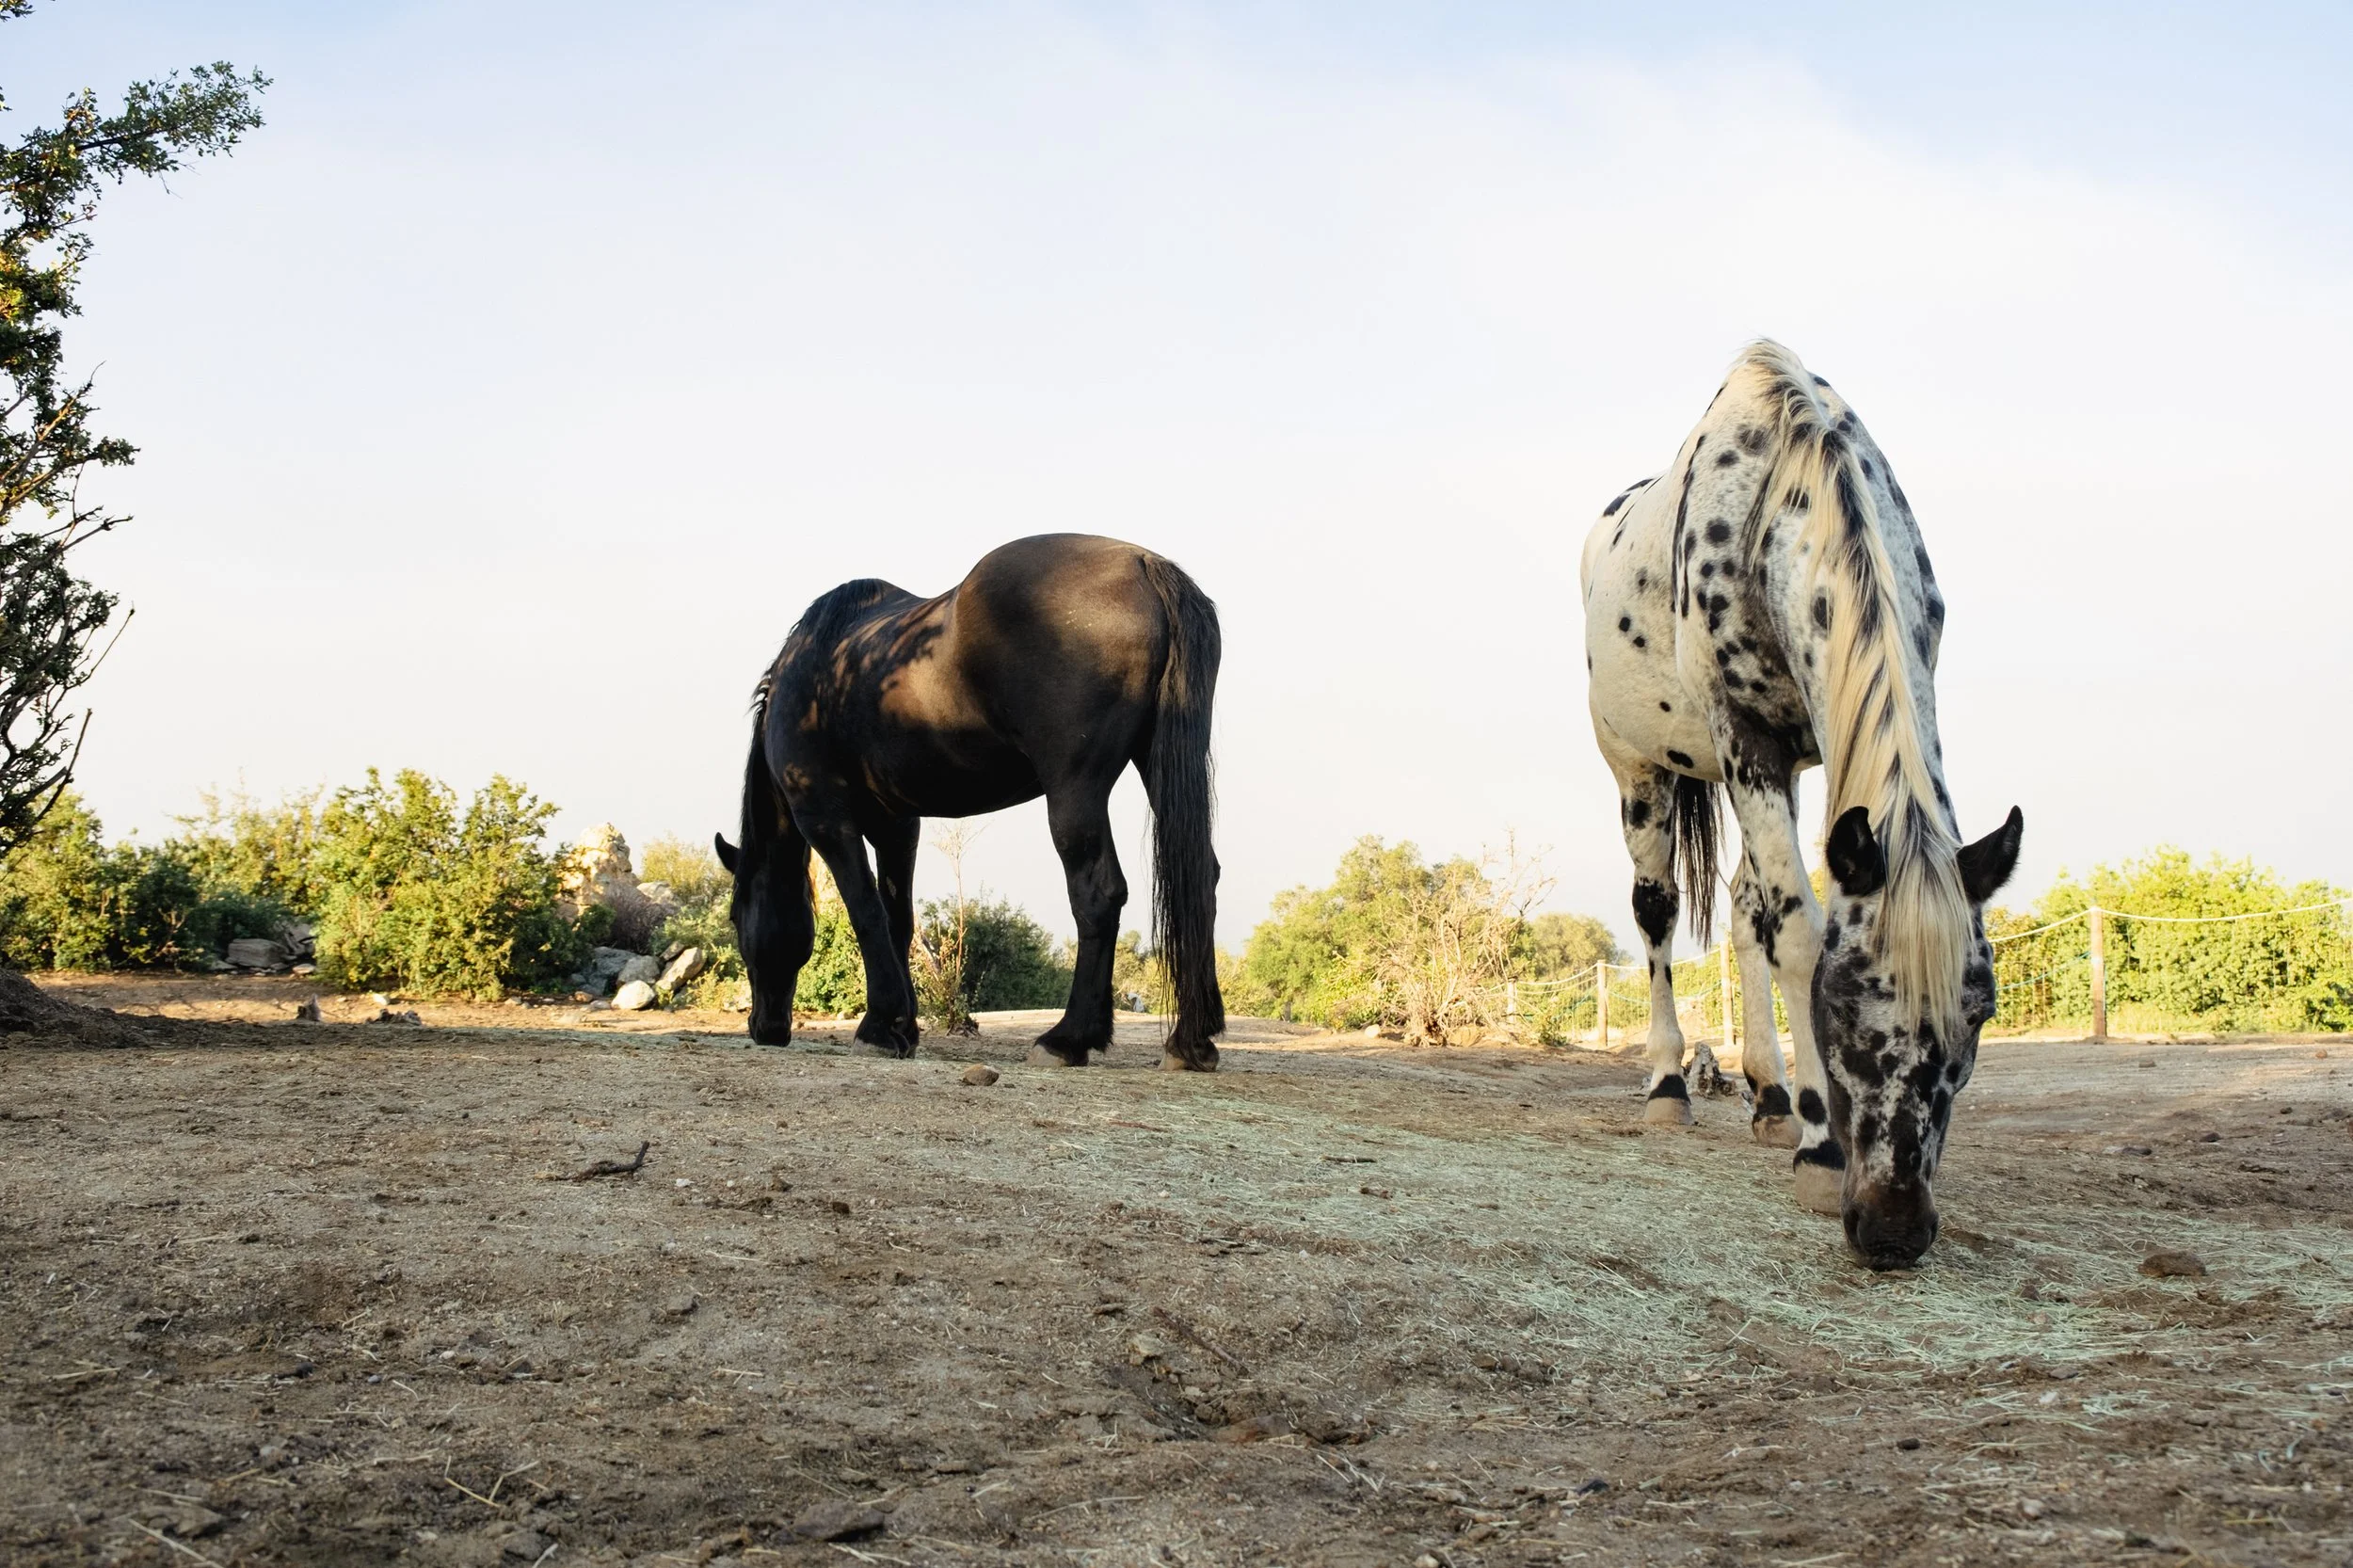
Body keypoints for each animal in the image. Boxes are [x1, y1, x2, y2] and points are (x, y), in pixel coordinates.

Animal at [715, 533, 1227, 1071]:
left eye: (735, 917)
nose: (764, 1028)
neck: (817, 672)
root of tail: (1146, 566)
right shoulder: (897, 824)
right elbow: (898, 919)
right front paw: (902, 1027)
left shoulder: (826, 819)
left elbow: (865, 911)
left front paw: (877, 1028)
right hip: (1158, 765)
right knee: (1200, 876)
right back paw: (1191, 1041)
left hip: (1075, 790)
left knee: (1098, 894)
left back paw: (1067, 1038)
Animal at [1580, 341, 2023, 1270]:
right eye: (1840, 1006)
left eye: (1980, 1014)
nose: (1892, 1227)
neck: (1773, 493)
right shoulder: (1746, 737)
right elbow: (1797, 932)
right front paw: (1822, 1157)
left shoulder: (1812, 742)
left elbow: (1773, 914)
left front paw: (1794, 1116)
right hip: (1640, 770)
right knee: (1658, 910)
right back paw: (1670, 1085)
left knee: (1747, 901)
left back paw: (1771, 1100)